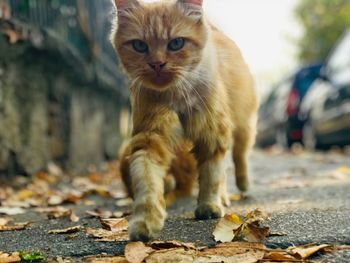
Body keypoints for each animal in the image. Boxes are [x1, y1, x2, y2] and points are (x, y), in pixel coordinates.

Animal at [110, 0, 258, 242]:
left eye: (176, 43)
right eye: (140, 46)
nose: (157, 64)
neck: (177, 96)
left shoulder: (213, 133)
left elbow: (210, 176)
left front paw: (208, 206)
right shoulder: (150, 138)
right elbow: (147, 182)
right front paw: (145, 223)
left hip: (243, 122)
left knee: (240, 156)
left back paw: (242, 185)